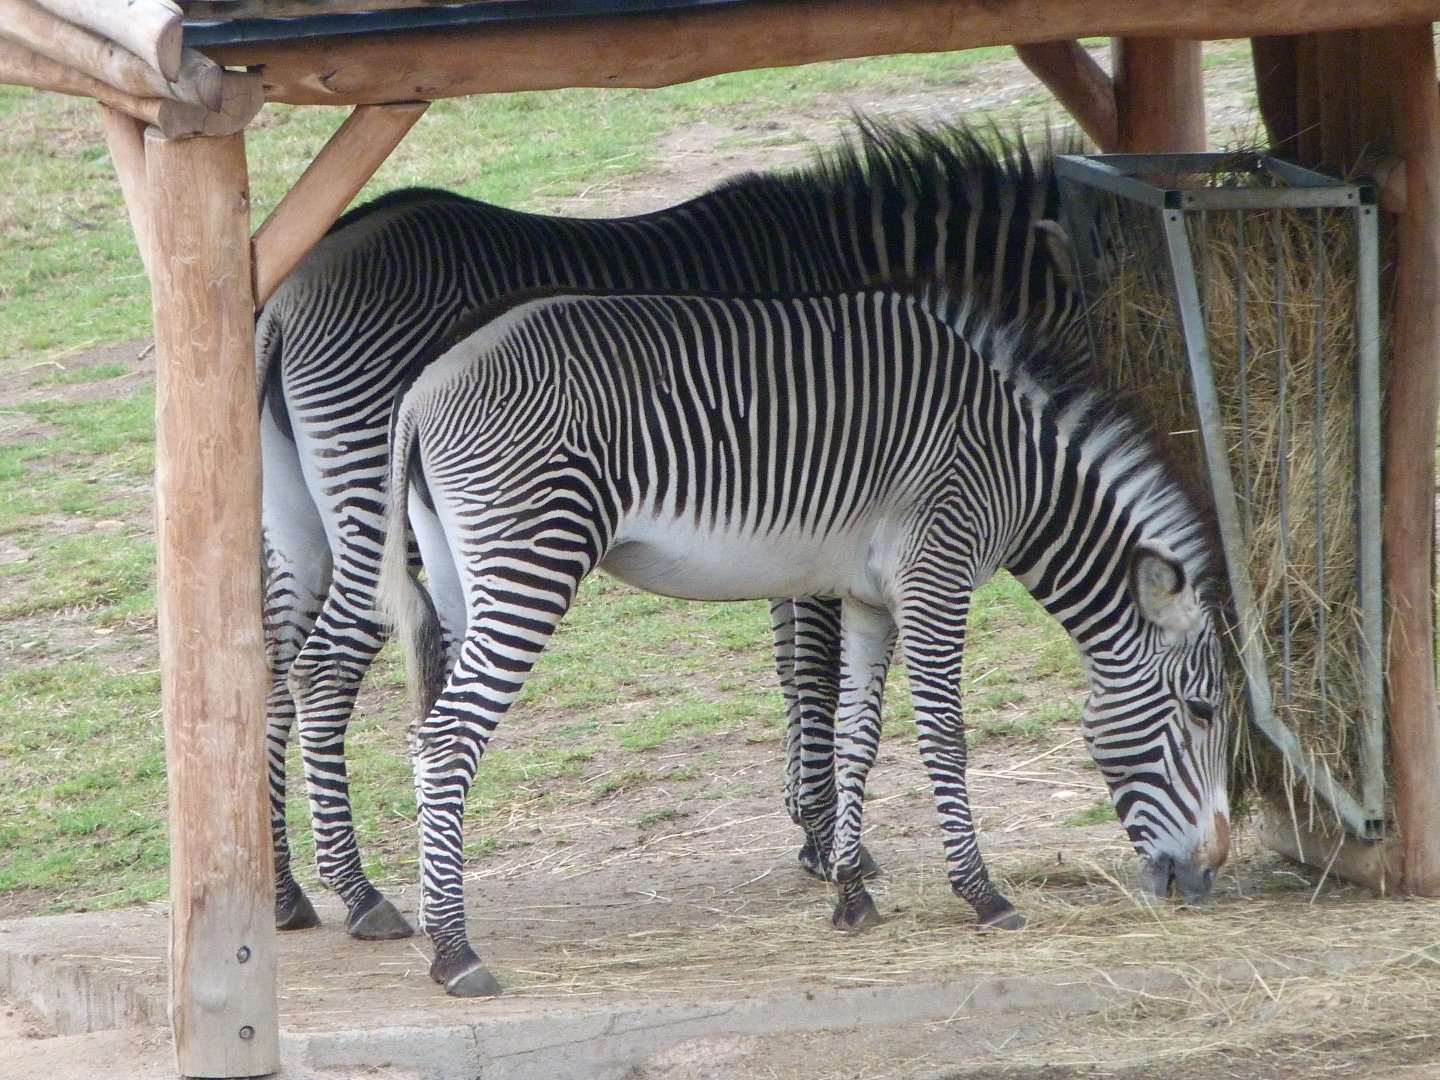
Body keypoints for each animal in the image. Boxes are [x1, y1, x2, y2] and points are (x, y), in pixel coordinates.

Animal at [261, 120, 1085, 940]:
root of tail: (285, 297)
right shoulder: (830, 509)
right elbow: (816, 671)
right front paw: (827, 843)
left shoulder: (795, 522)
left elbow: (792, 668)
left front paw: (815, 832)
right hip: (380, 502)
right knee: (324, 665)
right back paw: (360, 893)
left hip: (304, 522)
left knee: (271, 662)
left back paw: (287, 892)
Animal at [378, 282, 1232, 997]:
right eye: (1201, 712)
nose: (1205, 878)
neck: (1018, 462)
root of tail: (421, 390)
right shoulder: (937, 571)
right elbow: (943, 736)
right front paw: (982, 893)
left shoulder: (868, 596)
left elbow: (858, 735)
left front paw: (852, 891)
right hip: (532, 559)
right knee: (448, 739)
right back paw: (456, 951)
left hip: (459, 577)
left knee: (428, 735)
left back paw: (441, 925)